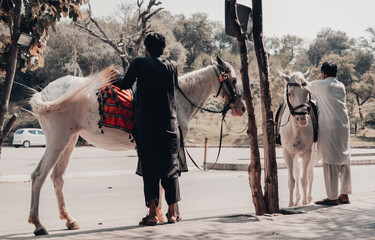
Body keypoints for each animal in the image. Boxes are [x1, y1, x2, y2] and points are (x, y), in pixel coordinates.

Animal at [28, 55, 247, 234]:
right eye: (233, 80)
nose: (242, 108)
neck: (175, 99)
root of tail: (45, 93)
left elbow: (158, 180)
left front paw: (157, 214)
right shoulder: (171, 147)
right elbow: (168, 178)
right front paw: (170, 215)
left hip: (69, 141)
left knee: (57, 178)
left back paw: (69, 220)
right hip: (58, 141)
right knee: (39, 176)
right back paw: (38, 224)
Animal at [278, 68, 318, 207]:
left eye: (307, 92)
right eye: (290, 93)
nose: (302, 119)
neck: (296, 129)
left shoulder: (308, 152)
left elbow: (304, 179)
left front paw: (305, 202)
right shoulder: (287, 153)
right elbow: (292, 180)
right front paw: (291, 204)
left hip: (313, 153)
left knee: (310, 174)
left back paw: (309, 198)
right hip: (295, 155)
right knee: (296, 171)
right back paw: (297, 199)